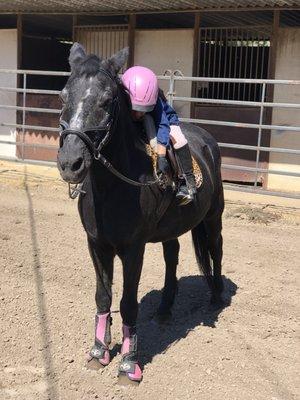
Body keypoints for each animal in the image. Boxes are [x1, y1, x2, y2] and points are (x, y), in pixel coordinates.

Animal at [56, 43, 225, 384]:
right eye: (64, 96)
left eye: (107, 100)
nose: (70, 163)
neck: (113, 188)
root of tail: (207, 139)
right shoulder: (97, 245)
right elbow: (103, 297)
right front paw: (99, 351)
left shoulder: (133, 249)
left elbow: (128, 303)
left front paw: (128, 363)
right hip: (172, 228)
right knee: (172, 256)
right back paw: (164, 308)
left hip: (213, 218)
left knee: (215, 250)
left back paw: (216, 298)